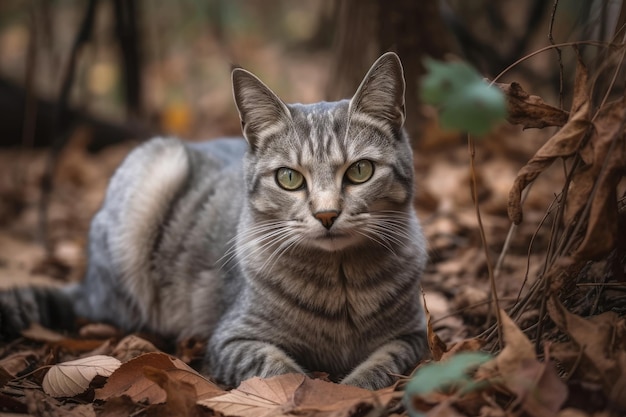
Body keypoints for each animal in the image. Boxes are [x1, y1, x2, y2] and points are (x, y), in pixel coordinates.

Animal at [0, 52, 426, 390]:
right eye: (289, 178)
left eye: (360, 171)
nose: (326, 214)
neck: (341, 288)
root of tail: (87, 281)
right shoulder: (234, 339)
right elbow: (282, 373)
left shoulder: (413, 336)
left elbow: (382, 368)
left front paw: (354, 389)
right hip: (153, 174)